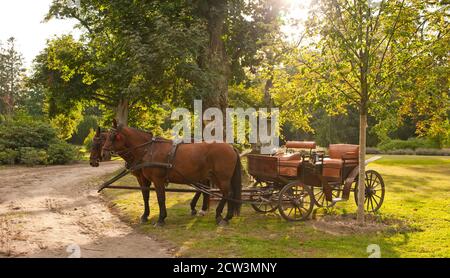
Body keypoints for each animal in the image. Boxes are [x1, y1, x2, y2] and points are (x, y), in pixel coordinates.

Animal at [102, 120, 243, 226]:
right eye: (106, 136)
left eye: (112, 136)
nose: (104, 153)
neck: (149, 149)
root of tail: (231, 147)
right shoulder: (144, 179)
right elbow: (145, 196)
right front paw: (145, 216)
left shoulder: (157, 179)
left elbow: (160, 198)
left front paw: (160, 219)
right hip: (213, 176)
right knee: (220, 192)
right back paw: (223, 216)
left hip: (221, 178)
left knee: (227, 193)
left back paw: (221, 216)